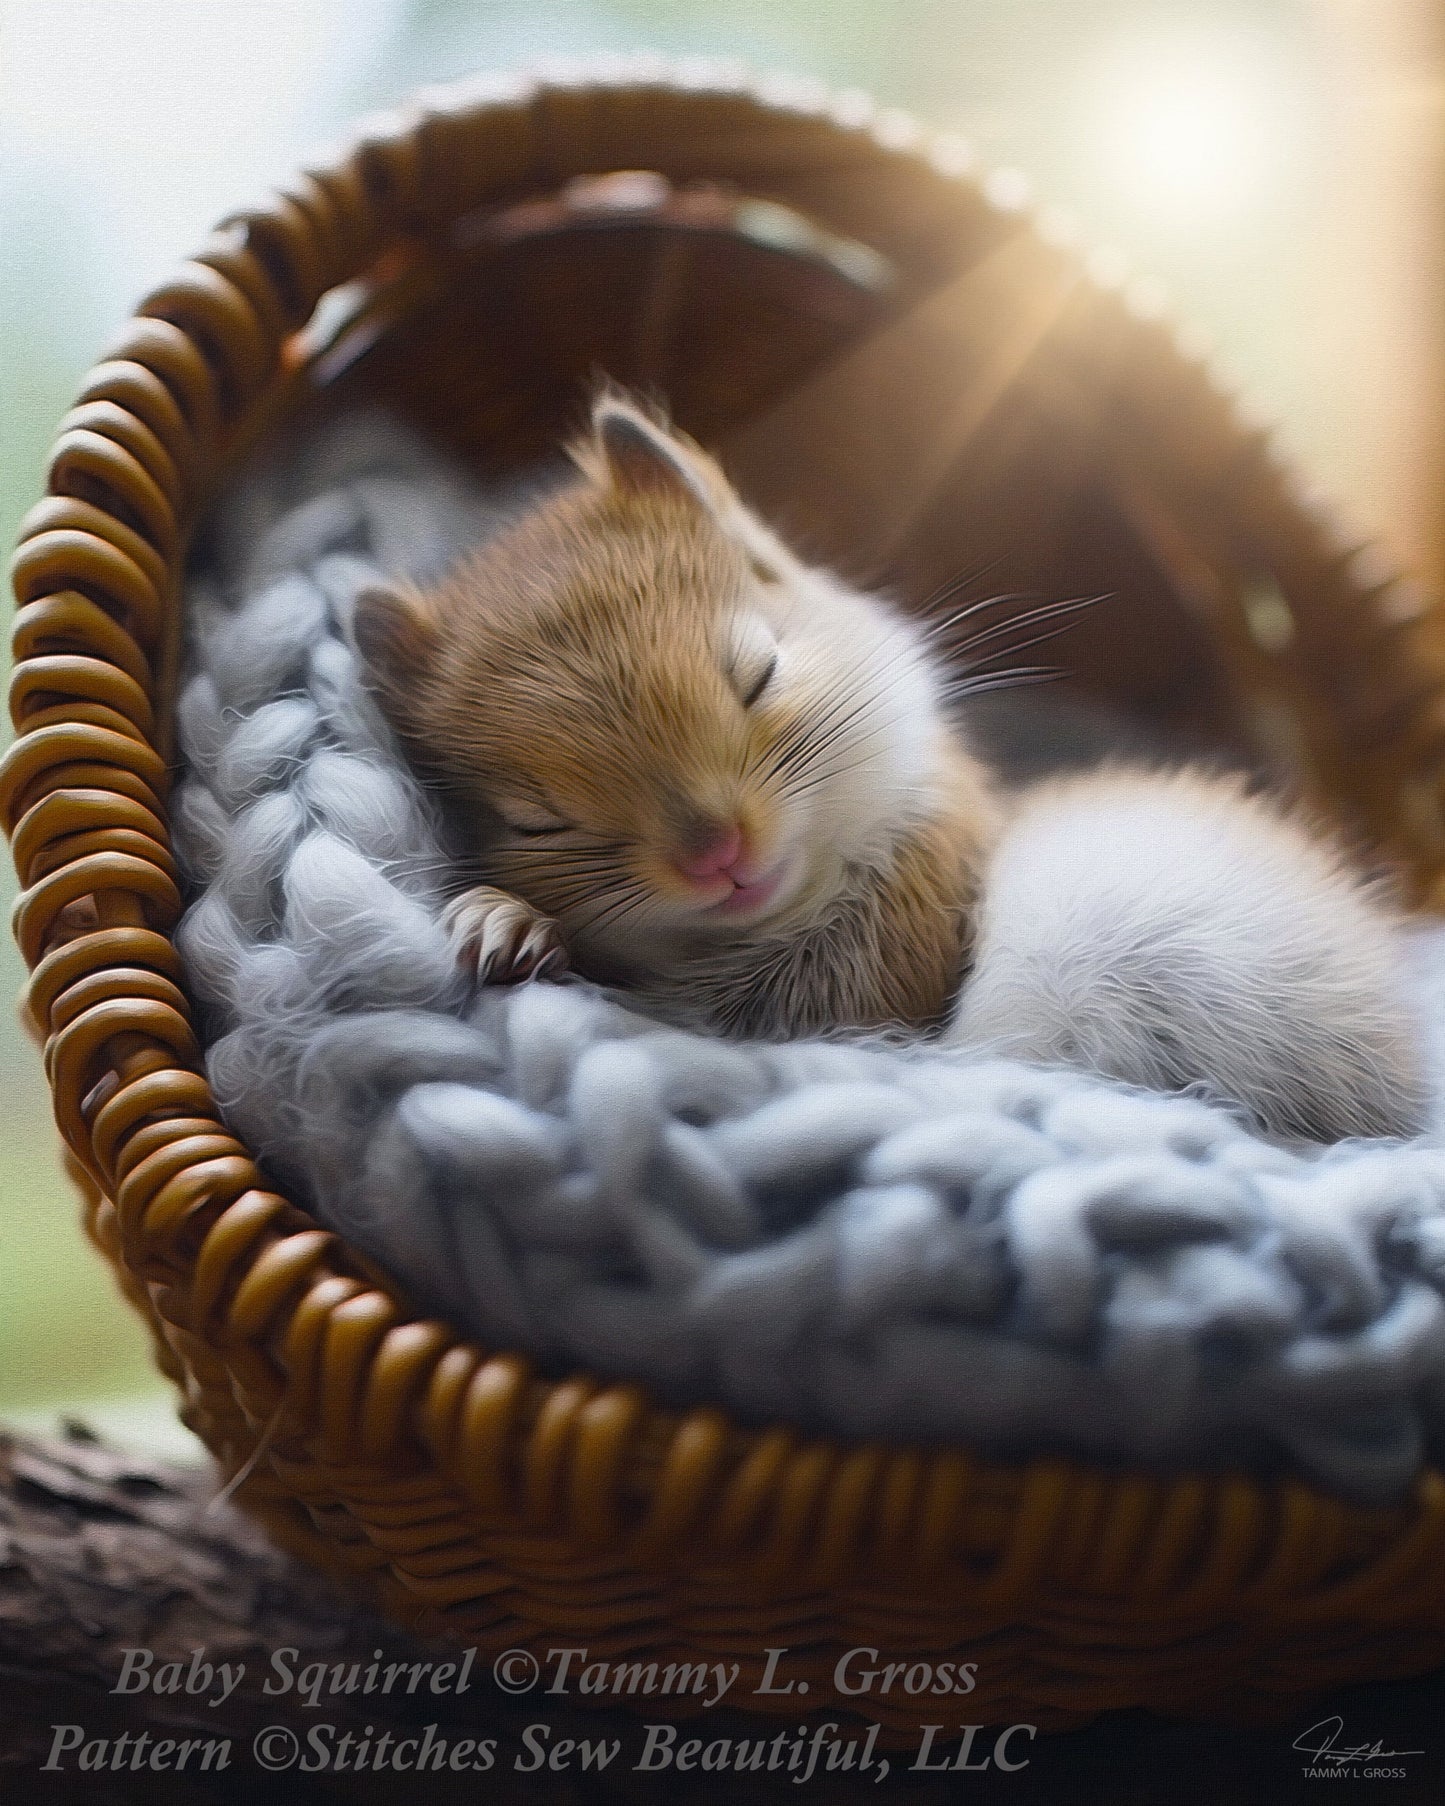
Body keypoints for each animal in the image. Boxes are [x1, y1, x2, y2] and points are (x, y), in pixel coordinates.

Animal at [354, 391, 1425, 1140]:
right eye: (537, 821)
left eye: (760, 673)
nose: (717, 855)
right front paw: (500, 920)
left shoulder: (880, 962)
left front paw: (515, 929)